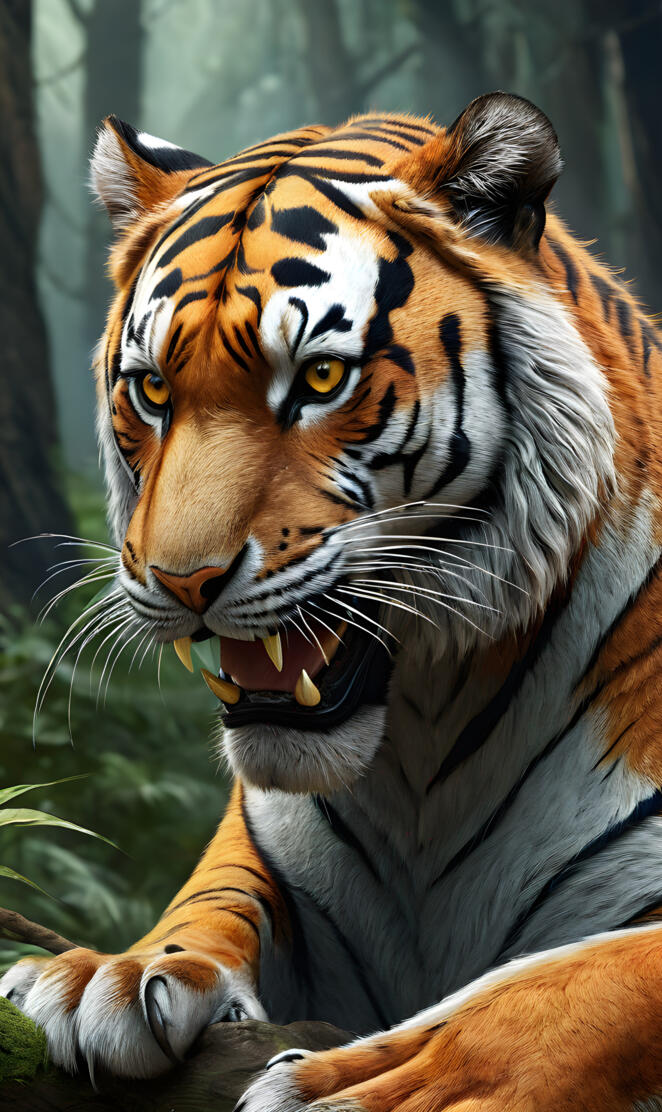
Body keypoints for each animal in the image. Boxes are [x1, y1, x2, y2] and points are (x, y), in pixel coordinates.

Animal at [3, 90, 662, 1109]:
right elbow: (213, 896)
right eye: (151, 390)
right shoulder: (273, 854)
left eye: (319, 378)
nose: (182, 581)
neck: (427, 736)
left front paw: (381, 1084)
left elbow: (577, 978)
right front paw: (109, 973)